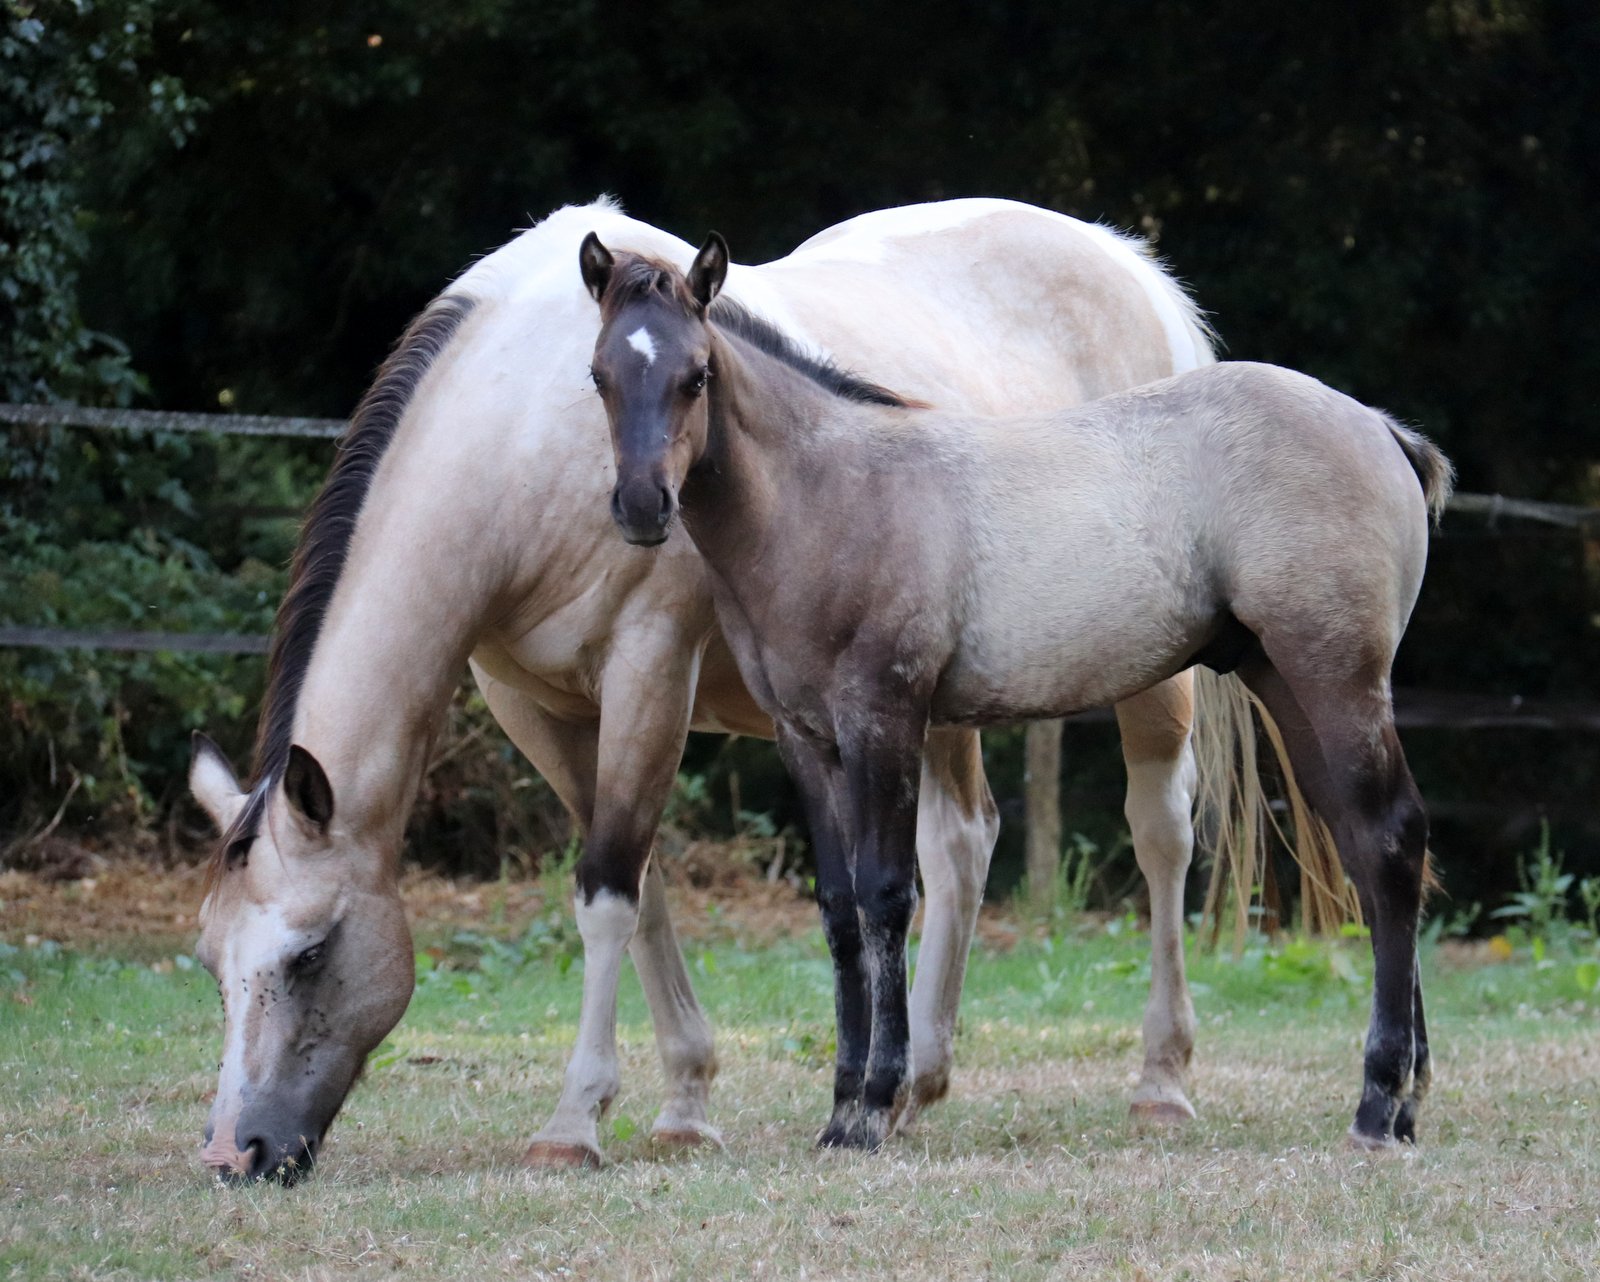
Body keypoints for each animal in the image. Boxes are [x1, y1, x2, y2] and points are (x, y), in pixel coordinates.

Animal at [186, 195, 1278, 1182]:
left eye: (310, 954)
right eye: (209, 963)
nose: (238, 1152)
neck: (524, 434)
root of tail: (1127, 266)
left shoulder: (649, 670)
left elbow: (609, 893)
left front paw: (574, 1122)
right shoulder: (539, 711)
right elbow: (642, 889)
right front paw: (684, 1102)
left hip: (1144, 688)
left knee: (1159, 834)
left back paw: (1160, 1083)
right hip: (938, 704)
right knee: (961, 844)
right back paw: (914, 1085)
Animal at [581, 233, 1452, 1151]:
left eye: (696, 374)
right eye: (601, 375)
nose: (642, 505)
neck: (830, 496)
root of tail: (1380, 428)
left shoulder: (884, 719)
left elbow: (886, 897)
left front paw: (874, 1104)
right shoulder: (805, 739)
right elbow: (839, 910)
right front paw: (842, 1105)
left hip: (1336, 679)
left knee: (1393, 839)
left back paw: (1378, 1103)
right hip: (1286, 684)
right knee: (1368, 847)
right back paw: (1405, 1100)